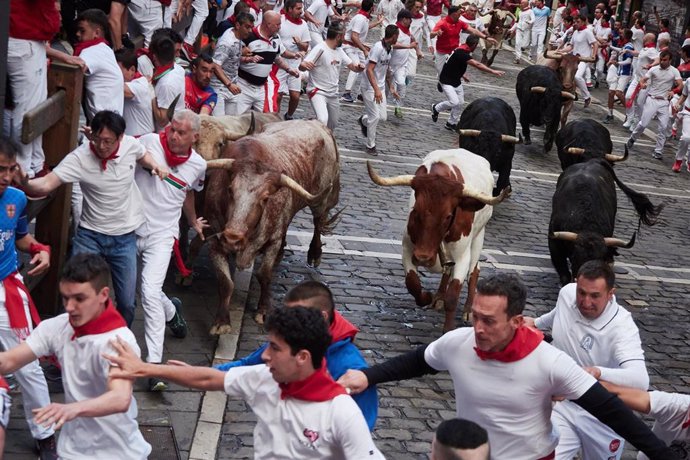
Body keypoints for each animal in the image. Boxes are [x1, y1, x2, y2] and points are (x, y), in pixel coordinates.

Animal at [200, 119, 340, 334]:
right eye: (230, 190)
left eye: (265, 198)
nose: (232, 237)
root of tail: (316, 122)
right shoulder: (215, 241)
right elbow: (225, 282)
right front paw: (222, 321)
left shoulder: (272, 240)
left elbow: (264, 275)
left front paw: (264, 310)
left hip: (322, 200)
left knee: (317, 222)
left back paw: (315, 253)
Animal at [368, 149, 508, 332]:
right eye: (416, 211)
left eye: (448, 216)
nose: (423, 257)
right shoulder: (407, 249)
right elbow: (412, 283)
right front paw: (427, 297)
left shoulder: (462, 257)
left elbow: (453, 296)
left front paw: (448, 329)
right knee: (447, 271)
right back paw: (439, 296)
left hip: (479, 237)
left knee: (474, 270)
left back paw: (468, 309)